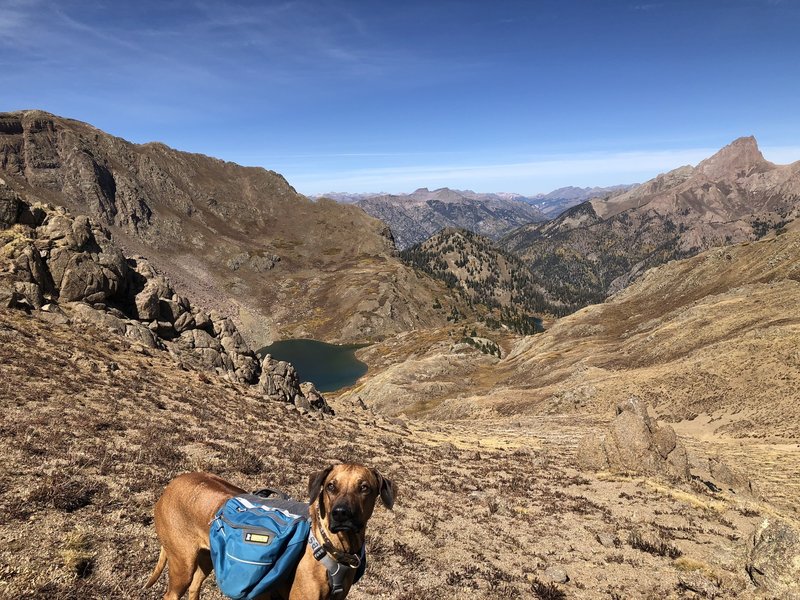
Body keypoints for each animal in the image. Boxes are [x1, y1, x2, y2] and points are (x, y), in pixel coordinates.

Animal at [145, 464, 396, 600]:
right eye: (331, 486)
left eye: (364, 488)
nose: (341, 514)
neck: (334, 547)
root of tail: (170, 486)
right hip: (182, 564)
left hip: (208, 557)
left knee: (195, 586)